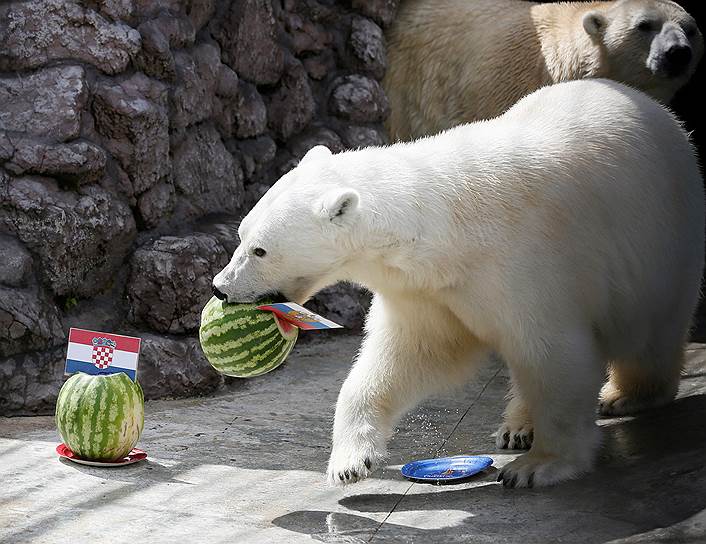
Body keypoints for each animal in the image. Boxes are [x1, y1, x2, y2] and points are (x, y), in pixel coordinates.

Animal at [212, 77, 700, 488]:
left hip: (662, 240)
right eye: (241, 234)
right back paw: (517, 426)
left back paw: (625, 396)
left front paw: (538, 466)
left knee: (651, 332)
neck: (450, 225)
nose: (220, 286)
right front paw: (350, 462)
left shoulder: (527, 262)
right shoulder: (427, 288)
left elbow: (554, 352)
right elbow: (411, 354)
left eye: (260, 250)